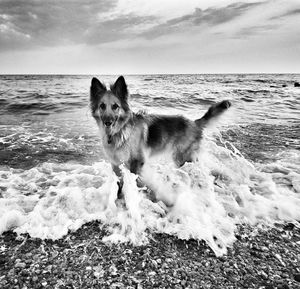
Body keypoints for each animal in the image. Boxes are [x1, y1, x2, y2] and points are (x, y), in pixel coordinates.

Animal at [90, 74, 231, 191]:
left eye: (115, 106)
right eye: (102, 106)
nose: (107, 122)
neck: (120, 131)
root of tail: (194, 122)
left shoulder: (137, 161)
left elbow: (134, 180)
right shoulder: (115, 163)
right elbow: (119, 179)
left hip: (183, 158)